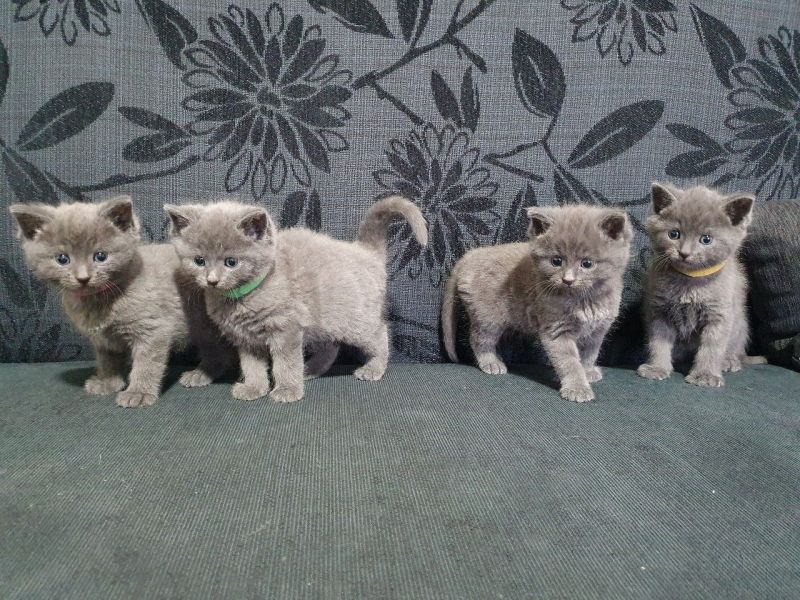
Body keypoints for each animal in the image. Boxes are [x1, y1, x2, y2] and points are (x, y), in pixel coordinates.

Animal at [10, 197, 234, 408]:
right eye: (62, 259)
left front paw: (138, 392)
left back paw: (201, 373)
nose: (83, 278)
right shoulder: (102, 339)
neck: (101, 301)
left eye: (100, 256)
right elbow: (107, 360)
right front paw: (108, 382)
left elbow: (146, 364)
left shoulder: (153, 330)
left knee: (219, 351)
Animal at [165, 196, 428, 404]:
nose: (212, 280)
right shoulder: (245, 338)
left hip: (357, 320)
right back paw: (309, 369)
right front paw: (254, 388)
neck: (243, 296)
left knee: (380, 335)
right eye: (199, 260)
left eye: (231, 262)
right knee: (331, 346)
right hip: (323, 321)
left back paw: (373, 368)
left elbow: (285, 362)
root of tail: (365, 250)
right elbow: (252, 366)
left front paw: (287, 390)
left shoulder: (287, 328)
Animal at [444, 205, 632, 404]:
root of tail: (470, 255)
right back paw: (491, 362)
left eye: (587, 263)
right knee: (478, 338)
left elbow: (590, 354)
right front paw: (577, 387)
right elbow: (569, 361)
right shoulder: (556, 329)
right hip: (488, 317)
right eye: (556, 261)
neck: (584, 299)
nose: (568, 280)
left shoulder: (597, 331)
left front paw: (587, 372)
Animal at [636, 183, 768, 386]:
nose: (684, 253)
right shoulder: (659, 311)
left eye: (706, 239)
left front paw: (705, 375)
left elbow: (712, 347)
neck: (689, 281)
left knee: (735, 349)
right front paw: (657, 367)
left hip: (740, 325)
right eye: (674, 234)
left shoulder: (719, 314)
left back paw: (729, 361)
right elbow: (658, 342)